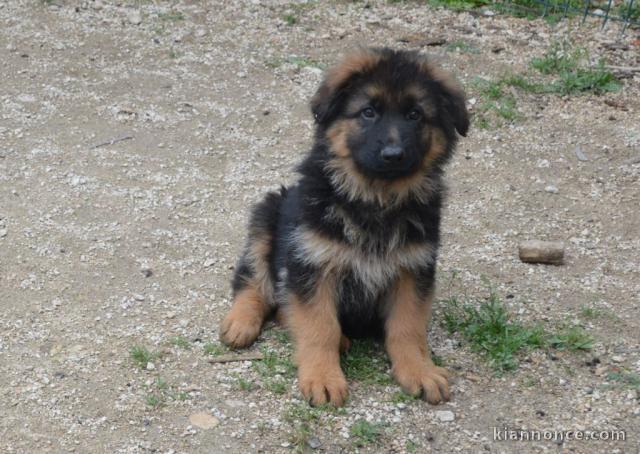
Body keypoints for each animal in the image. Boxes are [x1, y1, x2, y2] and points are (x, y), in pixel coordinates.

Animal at [221, 48, 470, 406]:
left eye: (415, 115)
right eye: (368, 112)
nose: (393, 154)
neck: (374, 198)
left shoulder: (414, 268)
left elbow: (408, 327)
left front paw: (419, 371)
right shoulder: (312, 263)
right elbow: (319, 326)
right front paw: (323, 377)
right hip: (266, 218)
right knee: (254, 282)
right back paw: (240, 322)